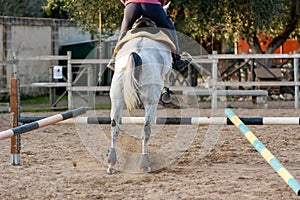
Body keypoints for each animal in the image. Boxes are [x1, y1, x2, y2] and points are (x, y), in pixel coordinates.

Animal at [107, 24, 173, 173]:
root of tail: (136, 53)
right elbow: (168, 75)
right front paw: (166, 93)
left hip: (117, 100)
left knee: (114, 126)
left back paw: (111, 162)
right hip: (150, 103)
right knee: (146, 128)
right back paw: (144, 163)